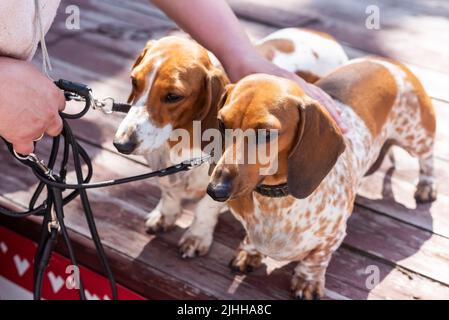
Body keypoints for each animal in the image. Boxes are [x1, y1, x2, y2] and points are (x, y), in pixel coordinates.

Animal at [112, 27, 346, 258]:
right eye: (134, 81)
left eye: (173, 96)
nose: (121, 144)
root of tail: (324, 35)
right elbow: (169, 194)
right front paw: (164, 215)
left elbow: (205, 208)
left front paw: (197, 237)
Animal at [207, 56, 438, 298]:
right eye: (221, 123)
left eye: (266, 134)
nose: (215, 190)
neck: (276, 201)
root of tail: (387, 61)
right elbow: (251, 239)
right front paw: (248, 253)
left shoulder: (333, 236)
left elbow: (316, 259)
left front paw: (307, 282)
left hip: (417, 136)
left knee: (428, 159)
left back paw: (426, 186)